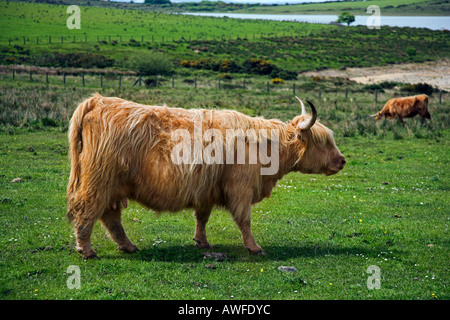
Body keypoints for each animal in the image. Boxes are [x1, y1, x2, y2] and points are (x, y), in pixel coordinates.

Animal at [67, 94, 346, 258]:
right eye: (323, 141)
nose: (342, 160)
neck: (267, 147)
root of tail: (98, 100)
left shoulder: (206, 190)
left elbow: (202, 217)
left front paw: (201, 242)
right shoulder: (240, 189)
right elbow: (244, 220)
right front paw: (254, 247)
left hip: (113, 187)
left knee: (111, 217)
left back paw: (128, 246)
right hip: (99, 181)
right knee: (87, 210)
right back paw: (86, 250)